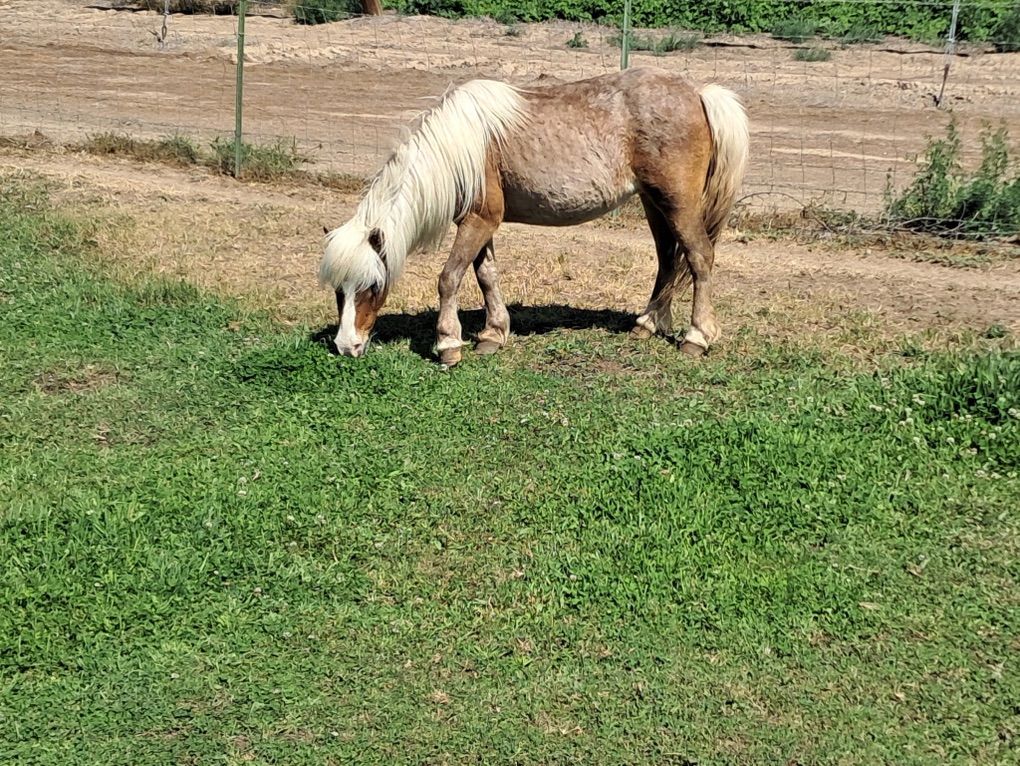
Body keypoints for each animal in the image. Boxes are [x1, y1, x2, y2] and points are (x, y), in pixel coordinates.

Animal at [320, 66, 749, 365]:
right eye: (339, 291)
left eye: (372, 286)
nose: (345, 346)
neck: (464, 147)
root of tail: (697, 93)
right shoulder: (479, 224)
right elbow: (486, 276)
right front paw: (492, 334)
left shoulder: (478, 222)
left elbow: (449, 278)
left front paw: (448, 344)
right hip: (654, 204)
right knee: (667, 260)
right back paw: (646, 325)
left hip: (678, 204)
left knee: (699, 258)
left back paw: (695, 338)